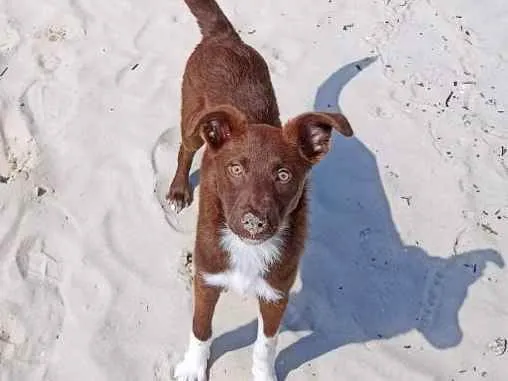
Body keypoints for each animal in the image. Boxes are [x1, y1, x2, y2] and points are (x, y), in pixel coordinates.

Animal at [168, 0, 354, 380]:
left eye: (283, 175)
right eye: (235, 169)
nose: (254, 222)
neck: (248, 249)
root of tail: (226, 37)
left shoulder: (276, 295)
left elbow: (265, 345)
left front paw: (264, 374)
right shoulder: (206, 279)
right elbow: (201, 329)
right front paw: (193, 367)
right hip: (192, 122)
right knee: (185, 149)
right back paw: (178, 190)